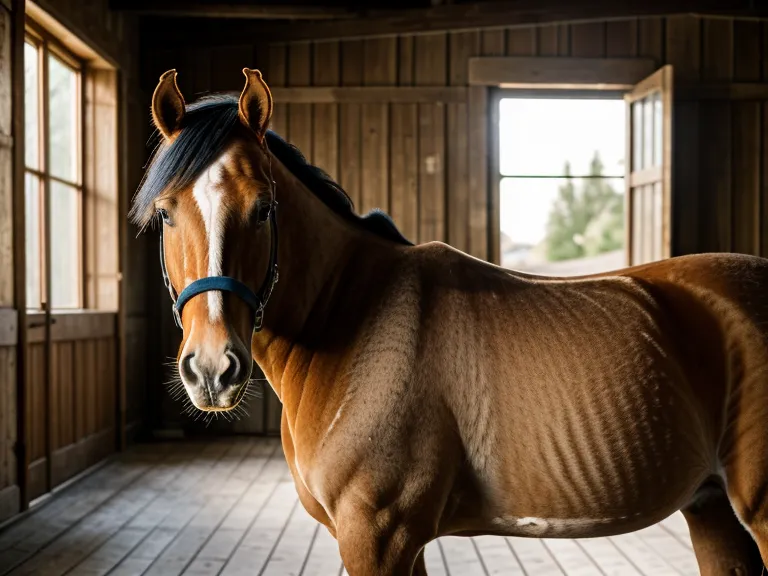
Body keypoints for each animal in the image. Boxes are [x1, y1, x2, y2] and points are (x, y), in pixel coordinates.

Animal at [131, 67, 768, 575]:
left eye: (263, 208)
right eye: (166, 213)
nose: (212, 370)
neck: (356, 321)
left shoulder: (378, 536)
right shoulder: (402, 541)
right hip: (711, 508)